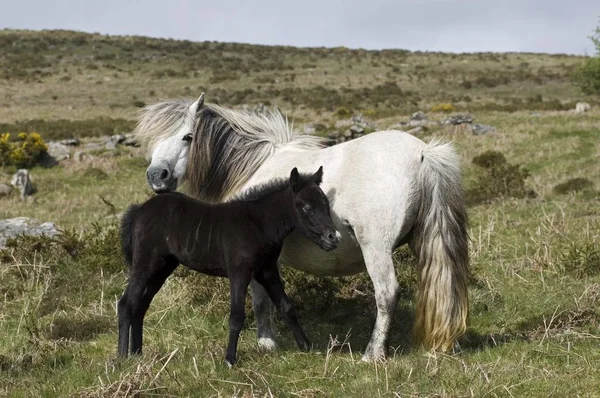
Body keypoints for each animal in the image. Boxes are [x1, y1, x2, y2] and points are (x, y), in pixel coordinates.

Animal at [132, 92, 468, 360]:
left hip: (376, 248)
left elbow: (260, 300)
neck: (253, 167)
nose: (157, 177)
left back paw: (372, 355)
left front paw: (266, 343)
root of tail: (423, 153)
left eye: (187, 137)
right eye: (153, 141)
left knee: (386, 294)